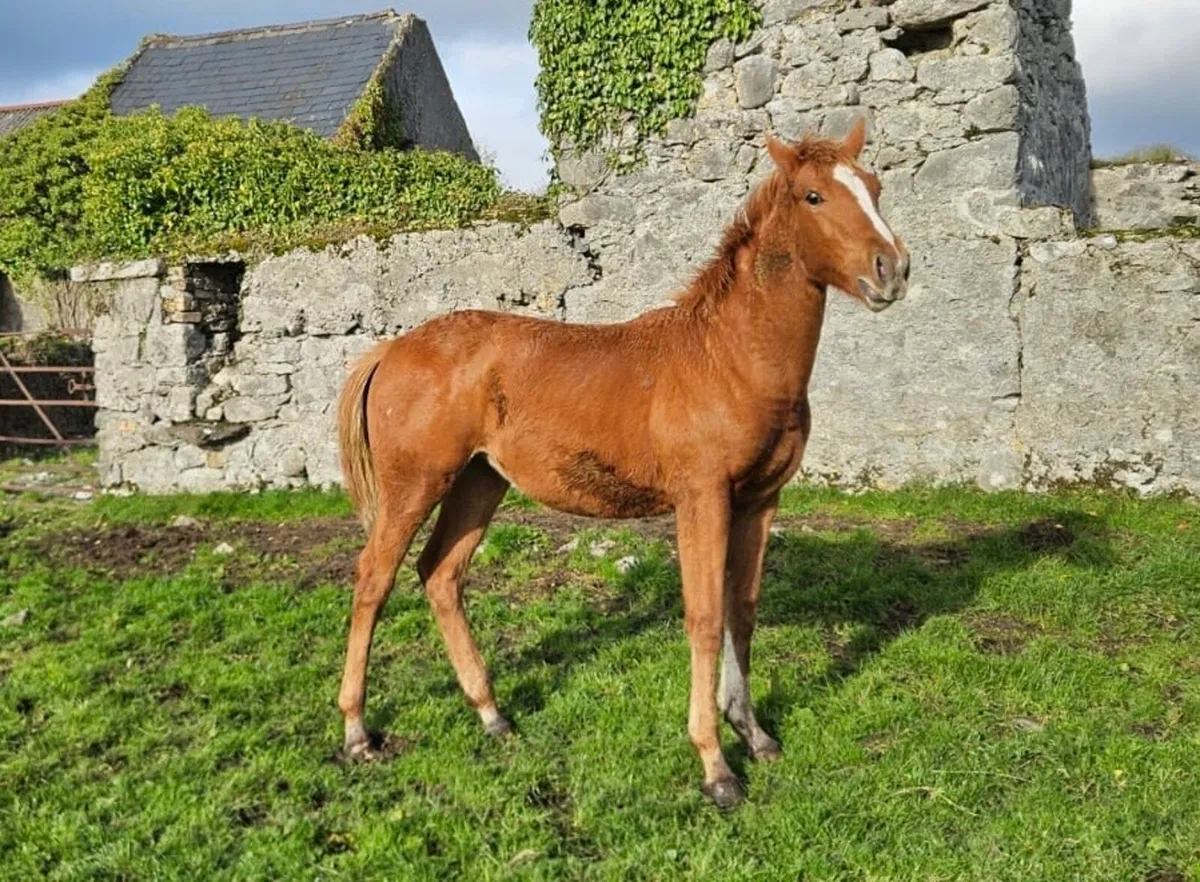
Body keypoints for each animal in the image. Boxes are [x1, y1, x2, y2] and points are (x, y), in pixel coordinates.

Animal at [334, 119, 909, 810]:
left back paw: (492, 714)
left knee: (441, 574)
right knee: (374, 578)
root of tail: (390, 349)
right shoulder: (702, 498)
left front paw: (754, 733)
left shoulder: (759, 500)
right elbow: (704, 617)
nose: (892, 269)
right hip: (416, 482)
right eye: (813, 196)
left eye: (875, 185)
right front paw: (715, 765)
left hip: (479, 481)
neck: (729, 356)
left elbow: (742, 610)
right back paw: (357, 731)